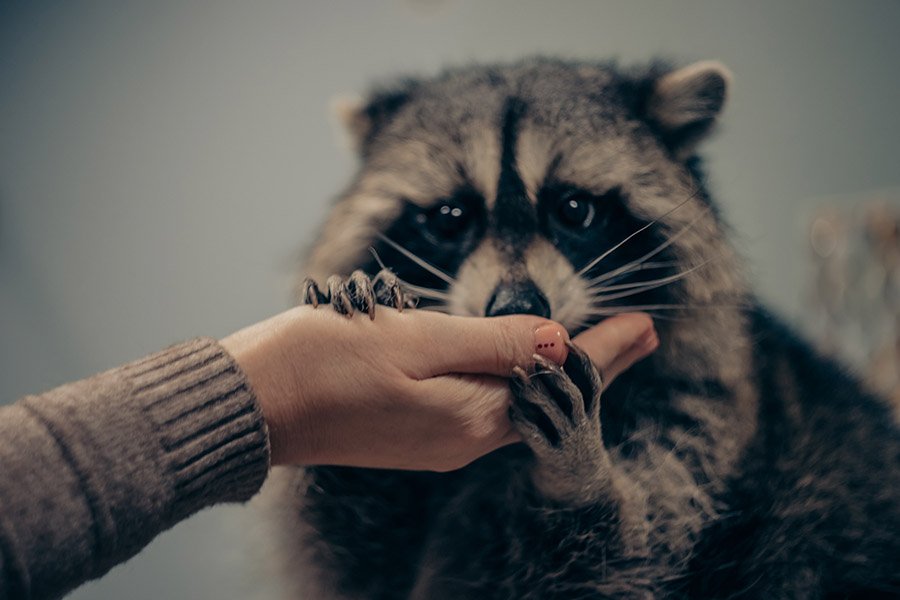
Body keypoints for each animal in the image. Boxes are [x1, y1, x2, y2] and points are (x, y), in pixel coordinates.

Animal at [264, 59, 900, 599]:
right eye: (449, 218)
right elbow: (360, 566)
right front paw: (356, 421)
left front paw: (580, 477)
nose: (516, 305)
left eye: (574, 209)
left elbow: (615, 562)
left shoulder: (703, 416)